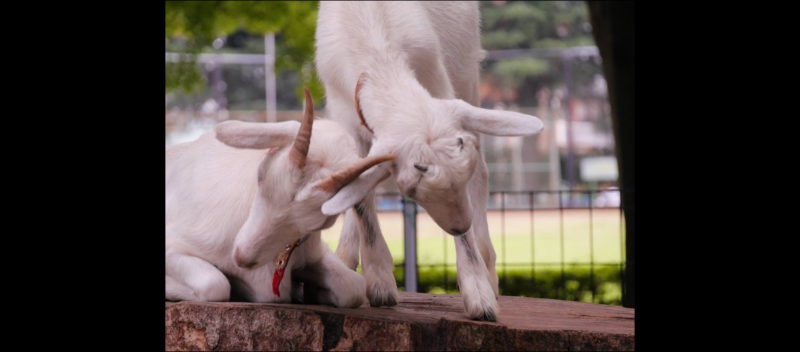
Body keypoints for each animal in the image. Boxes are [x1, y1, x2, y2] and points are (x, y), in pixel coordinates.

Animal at [165, 88, 394, 308]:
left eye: (321, 222)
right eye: (261, 175)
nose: (241, 258)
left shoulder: (312, 253)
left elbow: (353, 287)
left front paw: (312, 292)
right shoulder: (175, 244)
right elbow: (215, 284)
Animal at [316, 0, 548, 320]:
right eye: (411, 192)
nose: (460, 226)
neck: (377, 53)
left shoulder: (437, 82)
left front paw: (480, 297)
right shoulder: (346, 112)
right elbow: (360, 196)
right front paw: (380, 283)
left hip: (466, 69)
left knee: (483, 171)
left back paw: (489, 271)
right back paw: (344, 259)